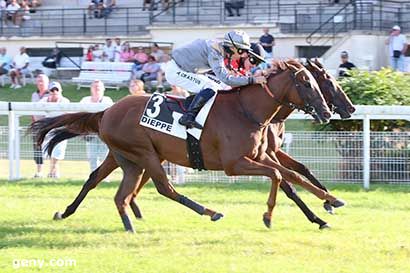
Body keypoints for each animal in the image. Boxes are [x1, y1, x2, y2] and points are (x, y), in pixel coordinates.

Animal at [32, 60, 342, 232]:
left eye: (319, 82)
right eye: (307, 83)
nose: (328, 112)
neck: (247, 110)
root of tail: (106, 111)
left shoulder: (263, 155)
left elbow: (292, 174)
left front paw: (329, 202)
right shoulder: (234, 164)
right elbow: (280, 176)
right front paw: (269, 216)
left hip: (125, 157)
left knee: (100, 181)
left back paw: (74, 212)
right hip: (143, 154)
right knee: (163, 188)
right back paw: (210, 212)